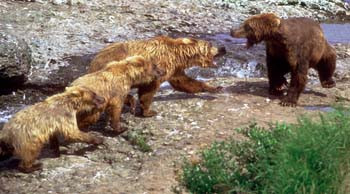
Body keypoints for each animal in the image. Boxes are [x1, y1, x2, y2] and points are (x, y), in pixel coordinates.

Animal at [88, 35, 227, 116]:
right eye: (210, 44)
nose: (223, 48)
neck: (180, 54)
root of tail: (94, 61)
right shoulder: (160, 65)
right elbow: (149, 88)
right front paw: (148, 111)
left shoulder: (174, 68)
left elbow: (184, 82)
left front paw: (215, 88)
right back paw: (130, 101)